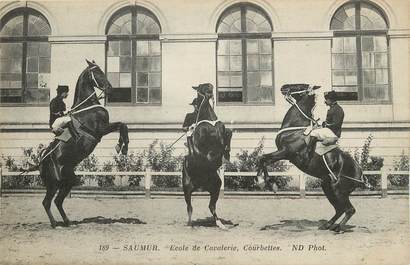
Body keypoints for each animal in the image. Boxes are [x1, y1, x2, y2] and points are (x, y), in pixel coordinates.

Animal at [32, 60, 129, 227]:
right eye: (97, 72)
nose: (110, 88)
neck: (87, 107)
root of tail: (41, 161)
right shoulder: (101, 129)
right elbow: (122, 125)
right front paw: (122, 147)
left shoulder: (105, 128)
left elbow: (122, 125)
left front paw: (121, 146)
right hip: (55, 183)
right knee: (47, 202)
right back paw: (55, 223)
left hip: (68, 180)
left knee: (57, 201)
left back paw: (67, 222)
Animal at [182, 83, 231, 229]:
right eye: (201, 86)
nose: (210, 87)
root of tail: (200, 186)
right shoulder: (200, 139)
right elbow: (200, 151)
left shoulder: (222, 131)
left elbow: (228, 133)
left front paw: (226, 155)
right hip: (186, 189)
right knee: (190, 207)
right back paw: (190, 224)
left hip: (216, 186)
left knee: (211, 206)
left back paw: (220, 224)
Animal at [256, 83, 368, 232]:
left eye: (299, 86)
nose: (283, 87)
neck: (296, 128)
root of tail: (360, 174)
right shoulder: (282, 153)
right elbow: (261, 159)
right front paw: (263, 181)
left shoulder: (285, 152)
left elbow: (263, 158)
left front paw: (268, 183)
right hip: (327, 187)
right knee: (339, 209)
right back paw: (328, 225)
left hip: (339, 190)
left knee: (349, 209)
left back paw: (338, 228)